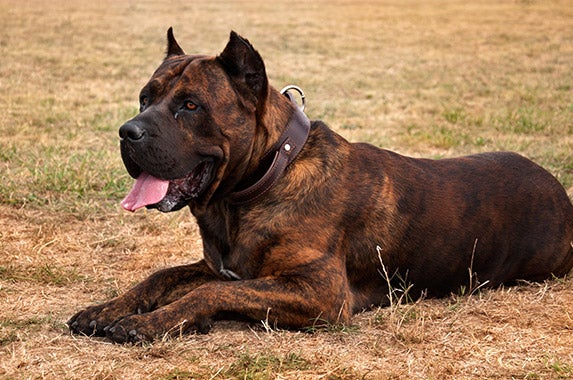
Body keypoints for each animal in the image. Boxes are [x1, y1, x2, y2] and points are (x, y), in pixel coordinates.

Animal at [68, 29, 572, 344]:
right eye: (145, 98)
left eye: (190, 105)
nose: (127, 131)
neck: (264, 179)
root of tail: (558, 188)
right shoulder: (219, 267)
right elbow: (162, 276)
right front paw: (107, 309)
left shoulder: (320, 294)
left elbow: (207, 294)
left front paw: (150, 323)